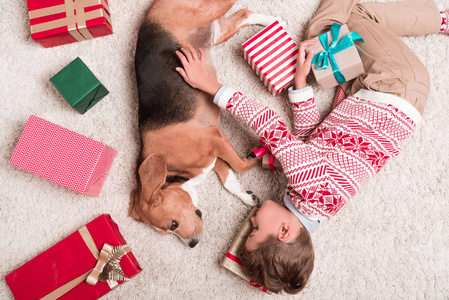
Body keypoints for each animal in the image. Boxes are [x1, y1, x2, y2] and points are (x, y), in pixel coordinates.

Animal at [130, 0, 282, 248]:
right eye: (167, 232)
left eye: (173, 225)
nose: (192, 244)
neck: (173, 169)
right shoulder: (214, 158)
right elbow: (229, 180)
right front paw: (246, 196)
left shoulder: (215, 139)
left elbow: (240, 165)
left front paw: (254, 157)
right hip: (217, 31)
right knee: (245, 14)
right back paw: (273, 21)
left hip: (210, 11)